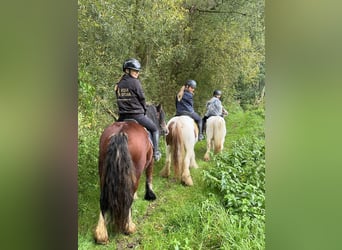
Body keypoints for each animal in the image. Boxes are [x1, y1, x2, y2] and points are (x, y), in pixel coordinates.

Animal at [94, 103, 168, 244]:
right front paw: (150, 195)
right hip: (135, 170)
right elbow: (149, 178)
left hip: (103, 172)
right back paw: (129, 227)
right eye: (161, 115)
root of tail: (120, 132)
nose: (166, 130)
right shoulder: (150, 162)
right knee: (128, 196)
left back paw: (101, 234)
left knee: (103, 199)